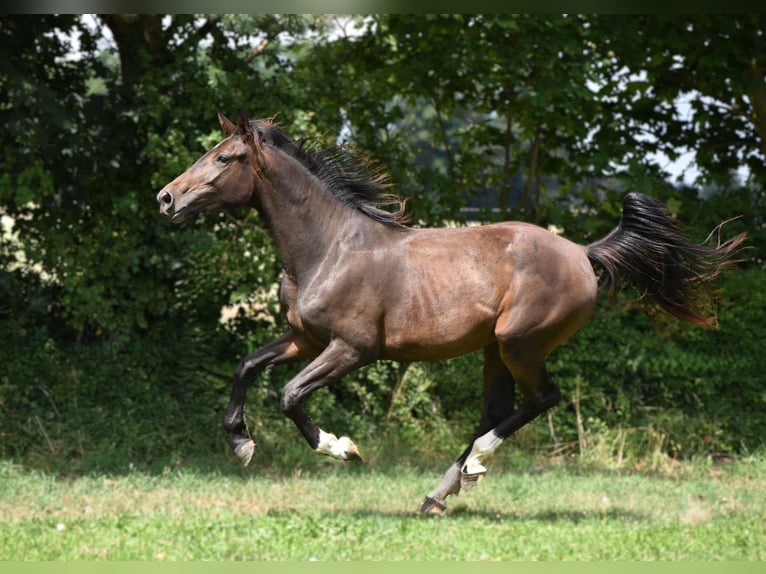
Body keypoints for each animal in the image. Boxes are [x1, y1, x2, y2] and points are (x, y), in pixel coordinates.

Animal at [158, 110, 752, 516]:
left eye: (223, 158)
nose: (166, 198)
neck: (328, 248)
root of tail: (583, 254)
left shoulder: (352, 349)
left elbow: (289, 394)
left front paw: (341, 448)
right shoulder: (304, 339)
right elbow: (246, 367)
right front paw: (241, 445)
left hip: (519, 344)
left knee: (539, 401)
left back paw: (473, 466)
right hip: (494, 350)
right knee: (497, 411)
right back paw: (439, 493)